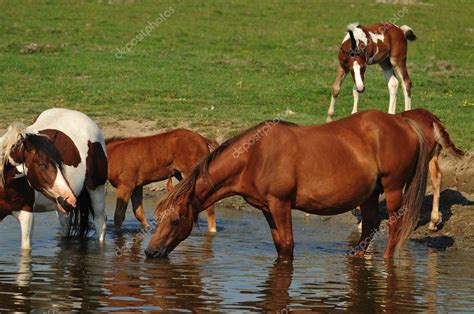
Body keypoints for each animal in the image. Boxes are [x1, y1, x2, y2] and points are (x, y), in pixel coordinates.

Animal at [0, 108, 107, 250]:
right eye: (42, 165)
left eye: (60, 164)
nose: (69, 197)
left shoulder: (26, 214)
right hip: (62, 206)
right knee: (65, 224)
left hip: (96, 189)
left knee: (100, 223)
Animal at [144, 109, 462, 262]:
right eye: (157, 218)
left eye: (176, 220)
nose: (150, 253)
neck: (254, 155)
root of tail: (406, 123)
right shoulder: (267, 208)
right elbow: (280, 246)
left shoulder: (281, 204)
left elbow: (287, 245)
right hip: (370, 194)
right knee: (370, 226)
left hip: (393, 189)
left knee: (393, 227)